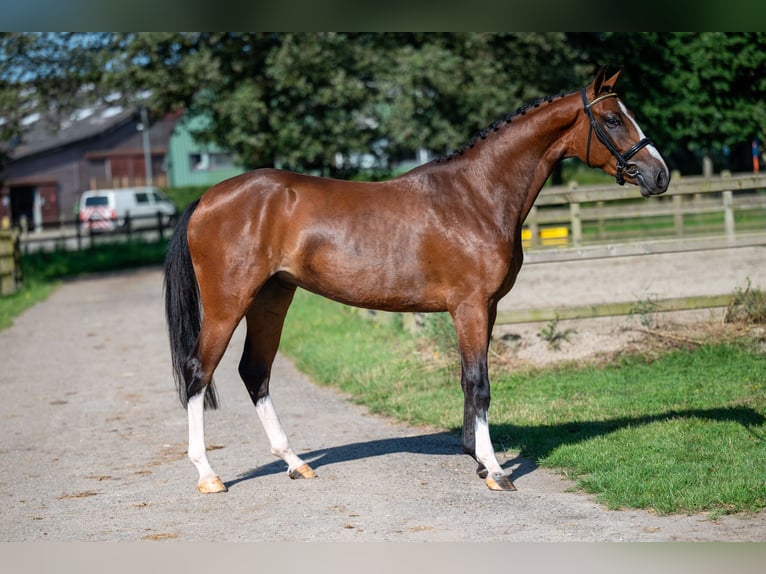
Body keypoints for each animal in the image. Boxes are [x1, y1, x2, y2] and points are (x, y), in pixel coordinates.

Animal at [165, 68, 668, 496]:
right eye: (611, 119)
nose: (659, 174)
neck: (476, 195)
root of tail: (207, 199)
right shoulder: (470, 306)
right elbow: (479, 382)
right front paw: (495, 470)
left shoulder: (487, 308)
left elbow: (469, 379)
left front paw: (477, 458)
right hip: (230, 303)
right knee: (198, 372)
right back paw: (208, 475)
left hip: (273, 298)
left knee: (256, 372)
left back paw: (295, 463)